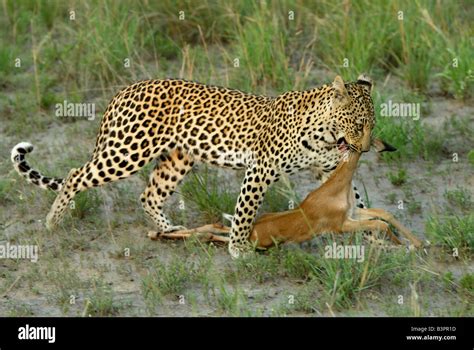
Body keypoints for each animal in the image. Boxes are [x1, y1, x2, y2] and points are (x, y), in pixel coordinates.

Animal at [9, 74, 376, 258]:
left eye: (372, 124)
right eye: (359, 123)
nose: (368, 147)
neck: (325, 133)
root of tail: (123, 90)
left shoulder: (330, 168)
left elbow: (356, 198)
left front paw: (374, 238)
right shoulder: (260, 168)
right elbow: (245, 211)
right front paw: (238, 247)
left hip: (176, 159)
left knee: (149, 195)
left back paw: (168, 228)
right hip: (127, 152)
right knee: (75, 175)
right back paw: (52, 221)